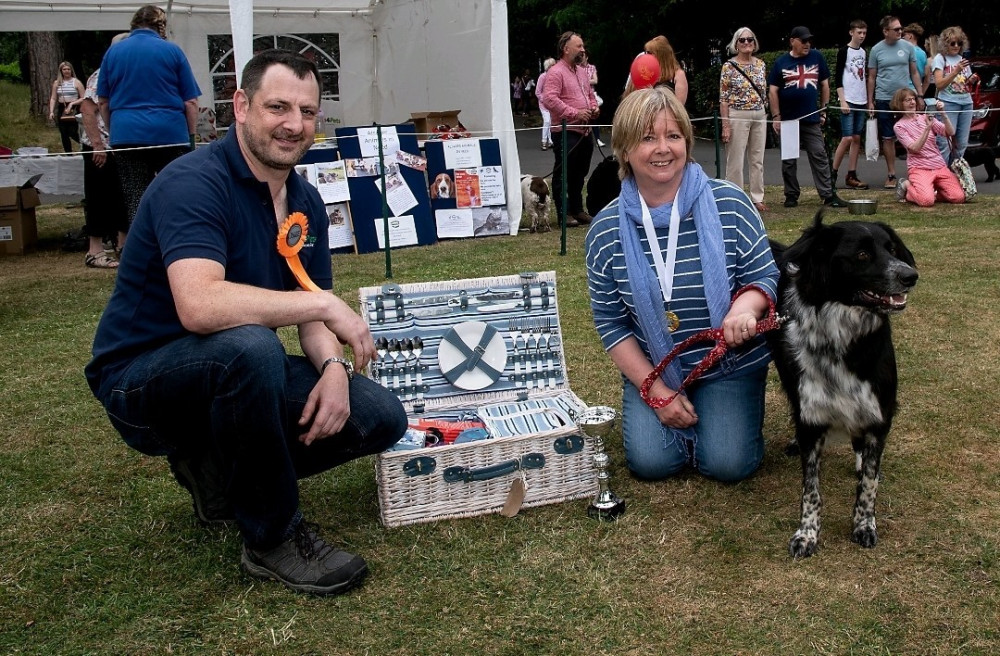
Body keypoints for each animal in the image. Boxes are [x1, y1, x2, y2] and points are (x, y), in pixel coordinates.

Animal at [764, 214, 920, 560]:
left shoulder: (878, 412)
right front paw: (807, 534)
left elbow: (869, 485)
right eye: (861, 255)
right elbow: (811, 489)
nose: (911, 276)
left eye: (892, 249)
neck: (842, 337)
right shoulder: (811, 413)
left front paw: (864, 524)